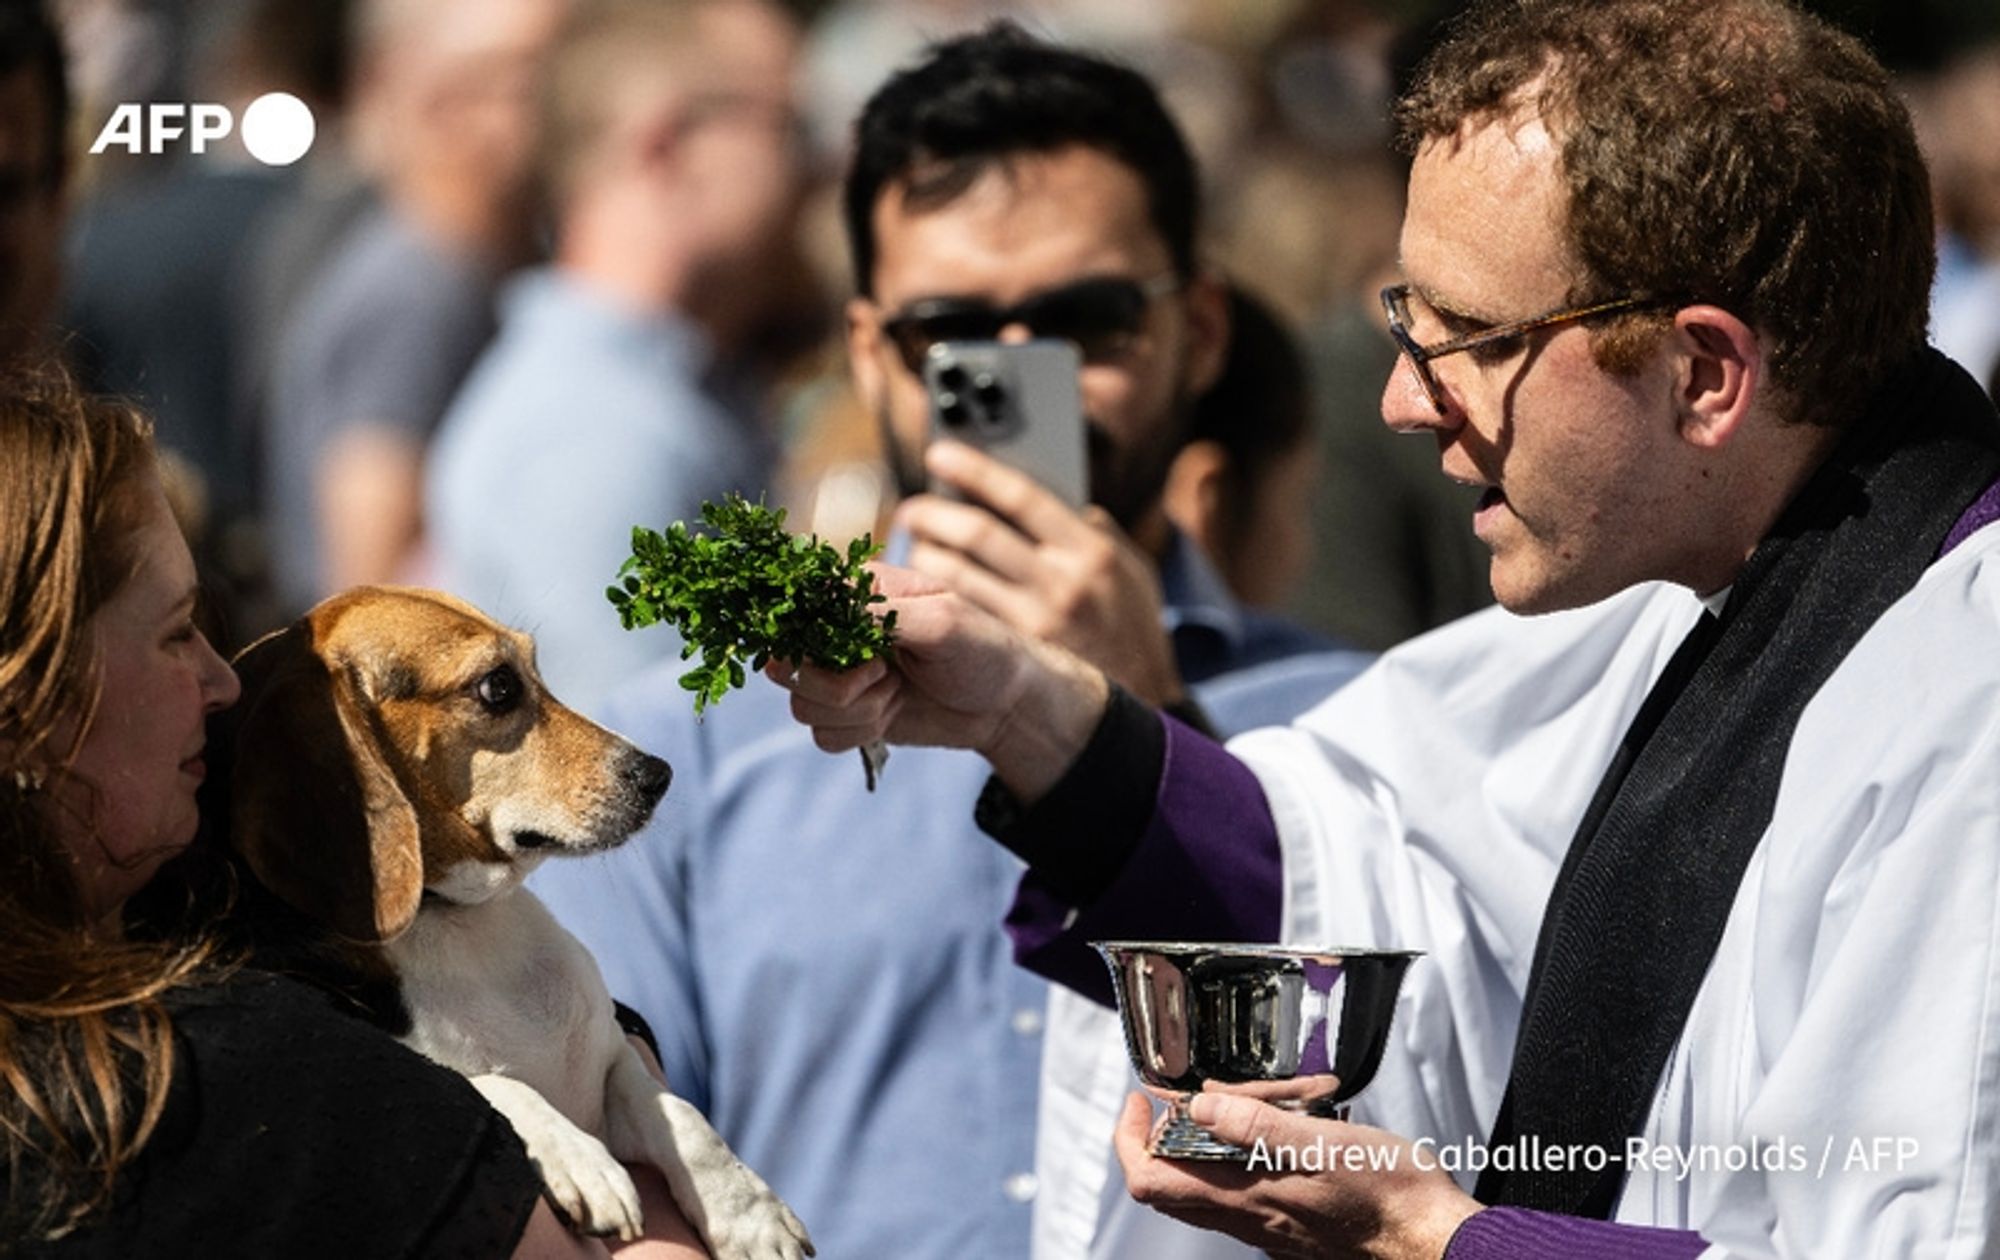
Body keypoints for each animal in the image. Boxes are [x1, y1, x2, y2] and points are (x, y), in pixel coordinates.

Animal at [211, 592, 812, 1260]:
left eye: (533, 667)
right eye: (498, 687)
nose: (658, 774)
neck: (461, 923)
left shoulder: (612, 1059)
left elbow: (683, 1119)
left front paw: (751, 1215)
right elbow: (492, 1086)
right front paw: (579, 1159)